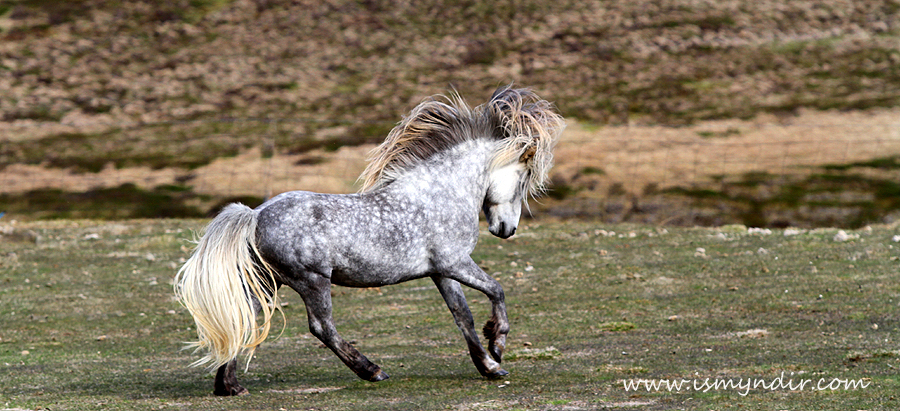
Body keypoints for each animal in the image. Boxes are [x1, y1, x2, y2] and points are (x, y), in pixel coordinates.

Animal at [175, 86, 564, 396]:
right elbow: (497, 290)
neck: (440, 192)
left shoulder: (441, 272)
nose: (506, 229)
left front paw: (488, 365)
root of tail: (254, 215)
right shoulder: (455, 262)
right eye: (524, 178)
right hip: (311, 280)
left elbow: (463, 317)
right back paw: (371, 370)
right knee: (321, 327)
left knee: (243, 320)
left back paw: (229, 386)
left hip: (267, 283)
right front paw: (497, 346)